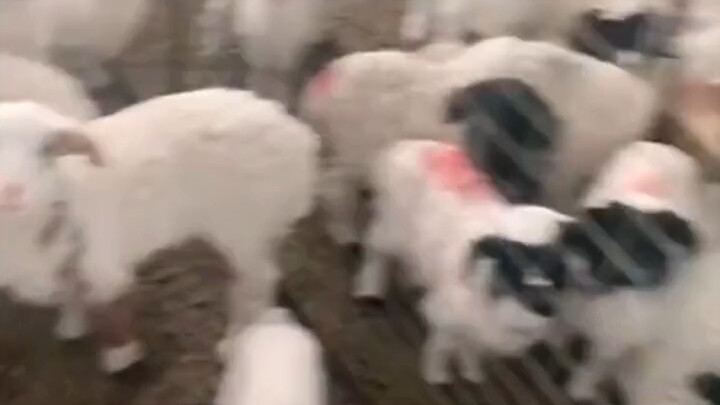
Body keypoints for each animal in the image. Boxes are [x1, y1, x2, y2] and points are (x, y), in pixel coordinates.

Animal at [0, 88, 319, 373]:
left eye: (47, 150)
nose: (11, 193)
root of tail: (300, 136)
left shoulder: (102, 264)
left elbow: (108, 310)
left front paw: (121, 356)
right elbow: (70, 292)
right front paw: (71, 325)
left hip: (246, 226)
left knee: (259, 280)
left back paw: (235, 339)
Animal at [352, 139, 573, 384]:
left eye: (554, 266)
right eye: (512, 262)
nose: (544, 307)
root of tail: (409, 145)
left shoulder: (477, 329)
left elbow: (471, 350)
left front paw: (472, 374)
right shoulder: (448, 317)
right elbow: (443, 346)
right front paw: (436, 376)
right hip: (392, 227)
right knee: (376, 254)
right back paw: (370, 292)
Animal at [550, 141, 702, 403]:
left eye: (647, 251)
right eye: (614, 235)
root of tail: (667, 147)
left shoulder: (612, 343)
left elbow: (593, 367)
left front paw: (578, 389)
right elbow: (561, 331)